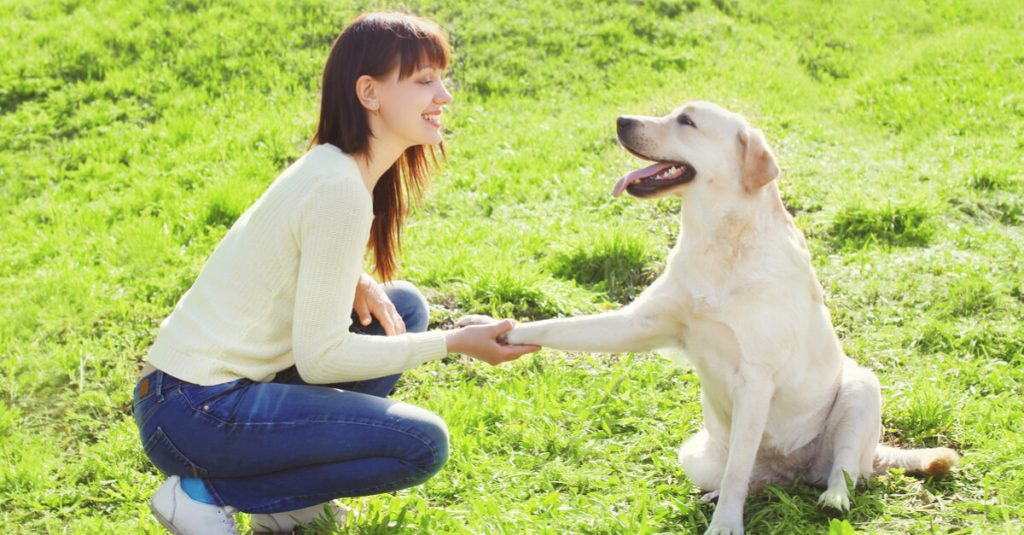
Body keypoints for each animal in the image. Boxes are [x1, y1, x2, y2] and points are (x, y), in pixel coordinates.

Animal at [460, 100, 954, 532]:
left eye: (687, 121)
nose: (621, 120)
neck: (718, 243)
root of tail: (793, 473)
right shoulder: (636, 325)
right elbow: (556, 327)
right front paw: (485, 329)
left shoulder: (755, 378)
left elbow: (740, 468)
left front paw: (726, 525)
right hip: (694, 454)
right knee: (754, 478)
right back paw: (723, 495)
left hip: (860, 389)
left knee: (843, 468)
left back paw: (833, 496)